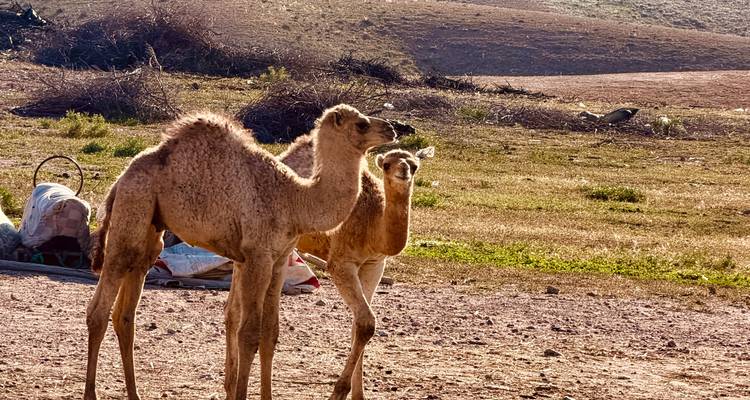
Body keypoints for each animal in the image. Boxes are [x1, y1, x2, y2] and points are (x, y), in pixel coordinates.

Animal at [84, 104, 396, 400]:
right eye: (361, 124)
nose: (392, 129)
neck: (294, 199)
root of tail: (121, 178)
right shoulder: (258, 256)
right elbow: (249, 333)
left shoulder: (279, 258)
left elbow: (270, 333)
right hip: (132, 210)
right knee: (99, 309)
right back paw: (91, 393)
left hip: (151, 230)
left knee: (125, 313)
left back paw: (134, 393)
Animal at [276, 135, 434, 399]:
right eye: (387, 164)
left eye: (414, 165)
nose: (403, 171)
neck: (373, 225)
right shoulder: (341, 263)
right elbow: (366, 322)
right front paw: (339, 392)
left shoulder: (374, 263)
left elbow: (358, 325)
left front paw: (359, 394)